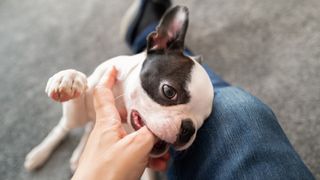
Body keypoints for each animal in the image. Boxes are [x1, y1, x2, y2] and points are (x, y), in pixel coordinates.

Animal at [23, 5, 214, 174]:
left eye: (202, 121)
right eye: (168, 92)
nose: (188, 130)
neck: (120, 104)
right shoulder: (82, 106)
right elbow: (78, 93)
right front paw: (69, 78)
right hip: (72, 121)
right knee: (63, 128)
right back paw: (40, 153)